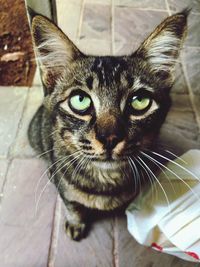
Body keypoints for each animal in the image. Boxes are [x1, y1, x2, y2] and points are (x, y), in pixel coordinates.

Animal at [28, 9, 189, 241]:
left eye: (140, 101)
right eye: (80, 100)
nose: (110, 138)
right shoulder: (65, 190)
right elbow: (72, 206)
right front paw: (76, 224)